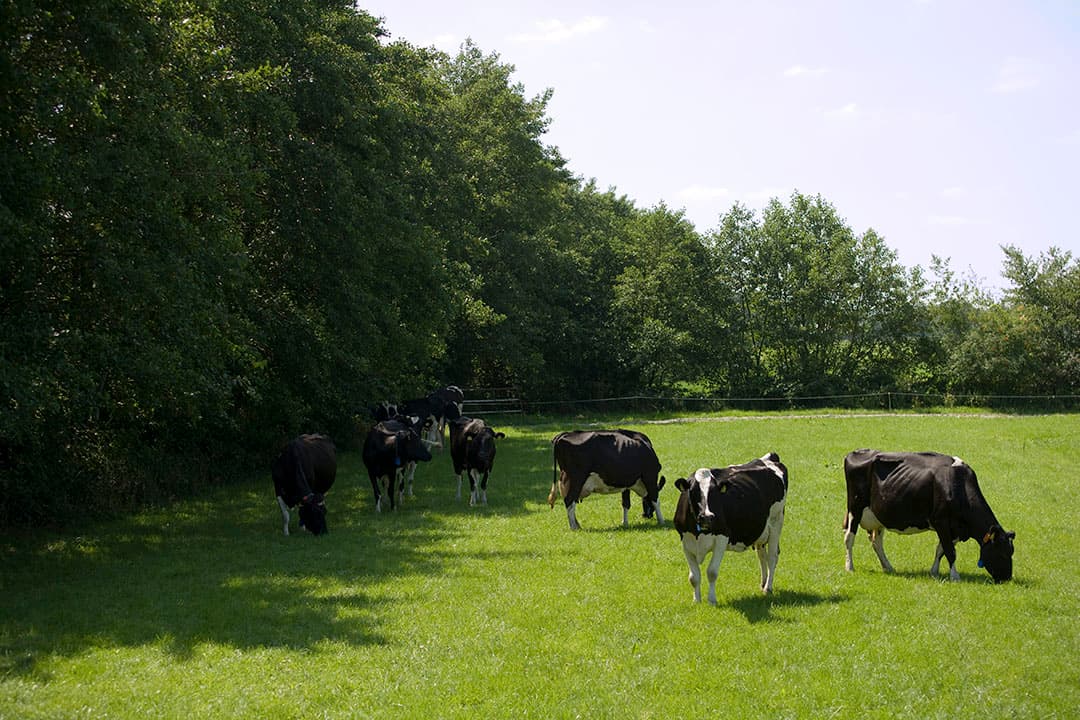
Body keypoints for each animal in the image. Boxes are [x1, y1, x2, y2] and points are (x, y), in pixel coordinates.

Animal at [673, 453, 788, 604]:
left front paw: (712, 600)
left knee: (772, 557)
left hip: (776, 523)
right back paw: (763, 583)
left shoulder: (722, 537)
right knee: (762, 556)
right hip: (761, 531)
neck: (699, 533)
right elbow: (694, 577)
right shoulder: (685, 541)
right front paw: (696, 600)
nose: (707, 516)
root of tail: (769, 458)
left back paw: (767, 588)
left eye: (715, 492)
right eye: (693, 491)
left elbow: (712, 572)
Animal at [843, 449, 1016, 583]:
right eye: (1001, 553)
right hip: (855, 508)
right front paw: (955, 576)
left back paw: (888, 567)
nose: (1007, 578)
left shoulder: (954, 528)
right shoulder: (941, 521)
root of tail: (856, 452)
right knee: (849, 538)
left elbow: (941, 550)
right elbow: (950, 551)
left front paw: (934, 572)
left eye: (1011, 552)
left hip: (878, 517)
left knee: (876, 542)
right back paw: (849, 566)